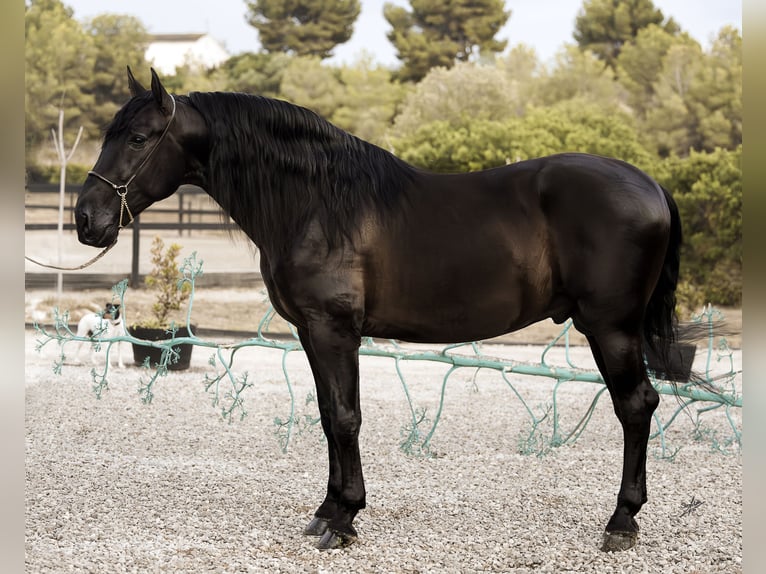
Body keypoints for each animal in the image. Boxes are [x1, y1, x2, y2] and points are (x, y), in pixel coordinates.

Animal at [76, 70, 684, 556]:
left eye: (137, 138)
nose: (86, 219)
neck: (316, 203)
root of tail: (651, 184)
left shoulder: (335, 331)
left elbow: (347, 418)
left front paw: (344, 520)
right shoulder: (311, 332)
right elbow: (328, 416)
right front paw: (326, 510)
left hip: (610, 328)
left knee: (636, 406)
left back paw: (621, 522)